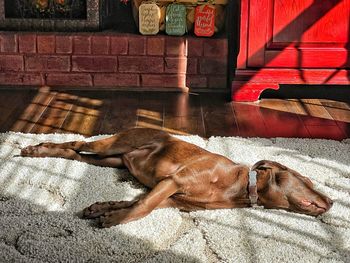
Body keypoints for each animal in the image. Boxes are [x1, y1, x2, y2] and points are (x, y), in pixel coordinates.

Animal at [20, 128, 332, 227]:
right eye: (307, 180)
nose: (332, 202)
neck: (240, 186)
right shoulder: (173, 182)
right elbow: (141, 207)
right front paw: (114, 221)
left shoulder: (172, 198)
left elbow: (135, 202)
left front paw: (102, 209)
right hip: (110, 146)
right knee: (74, 143)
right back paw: (35, 149)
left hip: (110, 160)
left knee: (75, 155)